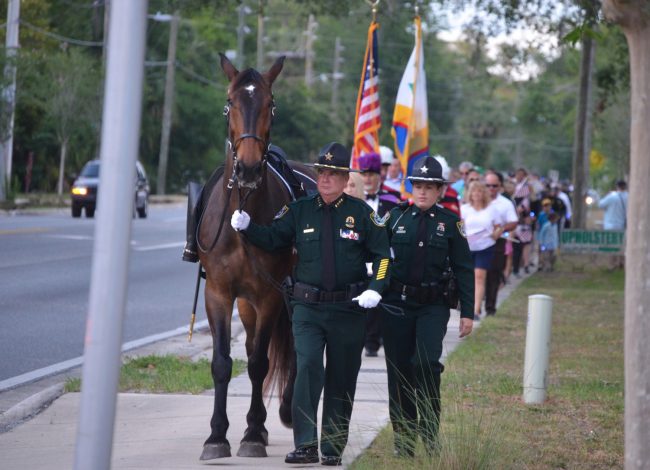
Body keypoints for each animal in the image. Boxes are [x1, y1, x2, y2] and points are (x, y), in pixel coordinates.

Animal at [196, 54, 312, 458]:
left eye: (270, 105)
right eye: (229, 103)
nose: (246, 168)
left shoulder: (271, 296)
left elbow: (261, 363)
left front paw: (250, 434)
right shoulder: (219, 293)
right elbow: (223, 362)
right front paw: (217, 436)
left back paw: (286, 411)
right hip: (247, 304)